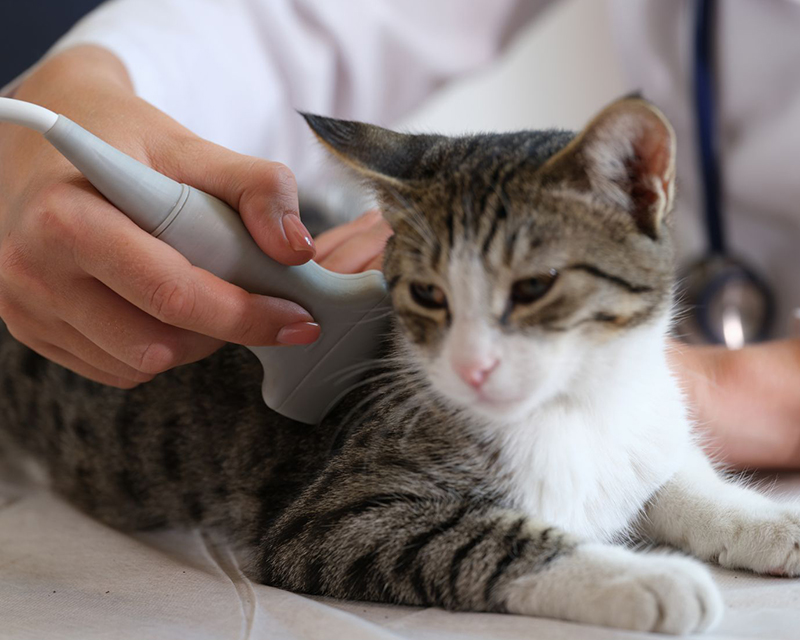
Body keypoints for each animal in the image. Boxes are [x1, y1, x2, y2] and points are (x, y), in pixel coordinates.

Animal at [1, 96, 800, 636]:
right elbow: (484, 538)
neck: (573, 406)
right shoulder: (333, 520)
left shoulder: (641, 423)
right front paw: (645, 576)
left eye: (534, 287)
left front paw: (769, 521)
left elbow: (677, 477)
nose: (474, 368)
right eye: (427, 293)